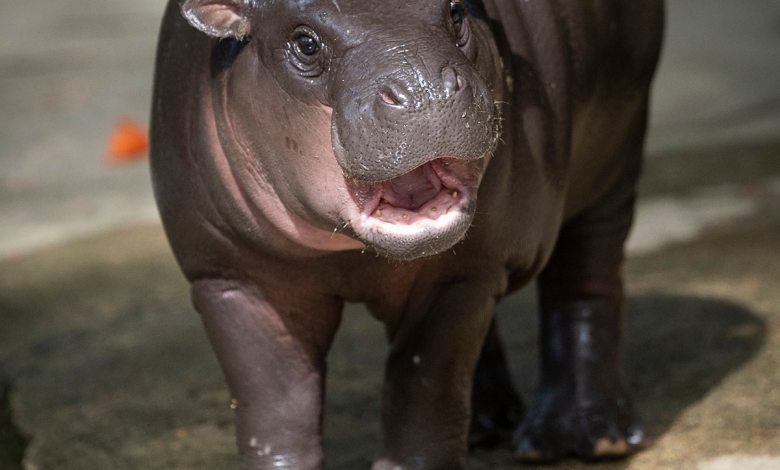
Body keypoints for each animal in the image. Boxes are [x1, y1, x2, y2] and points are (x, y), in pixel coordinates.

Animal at [150, 0, 664, 468]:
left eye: (456, 11)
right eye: (305, 42)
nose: (426, 90)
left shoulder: (460, 275)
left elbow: (424, 388)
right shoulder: (231, 277)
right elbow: (275, 405)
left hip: (614, 156)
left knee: (585, 278)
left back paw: (585, 438)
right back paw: (486, 426)